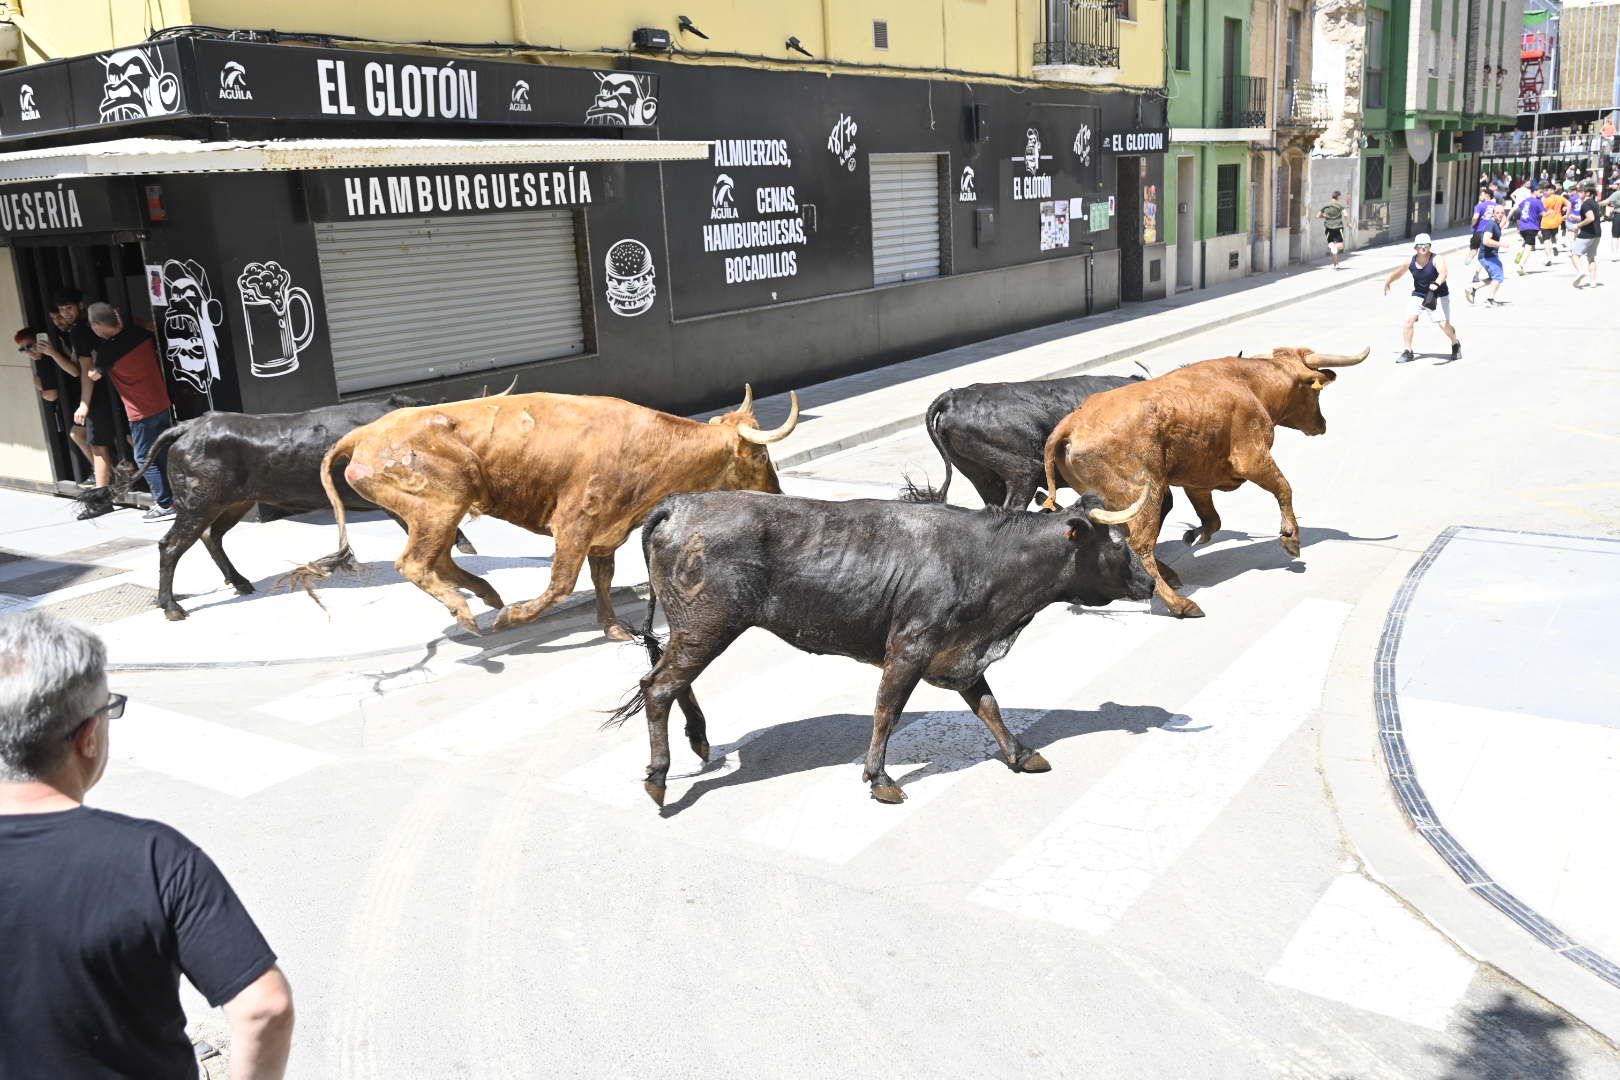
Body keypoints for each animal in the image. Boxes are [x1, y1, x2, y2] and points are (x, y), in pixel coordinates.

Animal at [294, 383, 800, 637]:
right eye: (759, 455)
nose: (777, 491)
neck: (650, 445)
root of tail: (366, 432)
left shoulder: (605, 532)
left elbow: (602, 580)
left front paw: (613, 628)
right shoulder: (574, 524)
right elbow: (561, 585)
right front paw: (516, 618)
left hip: (434, 513)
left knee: (439, 560)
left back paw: (485, 595)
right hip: (438, 507)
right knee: (415, 563)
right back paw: (470, 612)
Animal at [609, 488, 1153, 809]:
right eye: (1117, 543)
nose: (1150, 582)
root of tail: (681, 504)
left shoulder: (960, 655)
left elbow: (989, 706)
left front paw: (1021, 754)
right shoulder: (909, 649)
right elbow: (887, 711)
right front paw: (879, 779)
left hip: (696, 628)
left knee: (669, 677)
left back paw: (700, 741)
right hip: (710, 624)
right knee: (659, 685)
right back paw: (659, 777)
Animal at [1036, 346, 1367, 615]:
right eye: (1315, 392)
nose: (1322, 424)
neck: (1250, 384)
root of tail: (1071, 424)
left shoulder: (1197, 481)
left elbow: (1213, 519)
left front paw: (1195, 535)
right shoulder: (1252, 458)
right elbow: (1283, 488)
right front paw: (1291, 539)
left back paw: (1170, 578)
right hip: (1143, 496)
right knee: (1141, 544)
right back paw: (1180, 604)